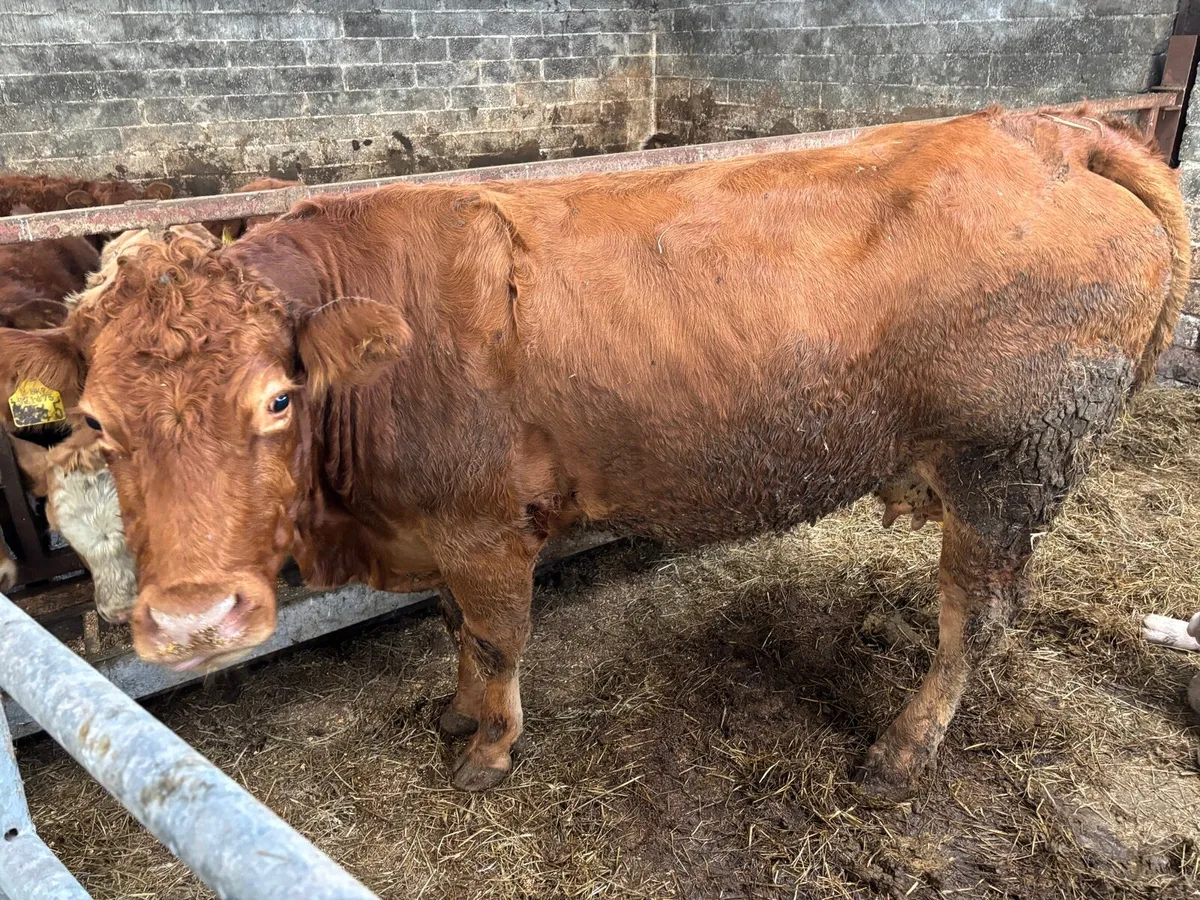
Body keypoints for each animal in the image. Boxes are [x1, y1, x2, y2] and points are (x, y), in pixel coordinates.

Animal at [0, 107, 1185, 797]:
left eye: (278, 399)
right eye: (95, 418)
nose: (193, 620)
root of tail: (1042, 132)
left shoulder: (485, 530)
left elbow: (495, 639)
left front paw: (487, 751)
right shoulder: (438, 534)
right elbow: (454, 635)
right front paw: (454, 716)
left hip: (1009, 465)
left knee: (972, 620)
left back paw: (901, 752)